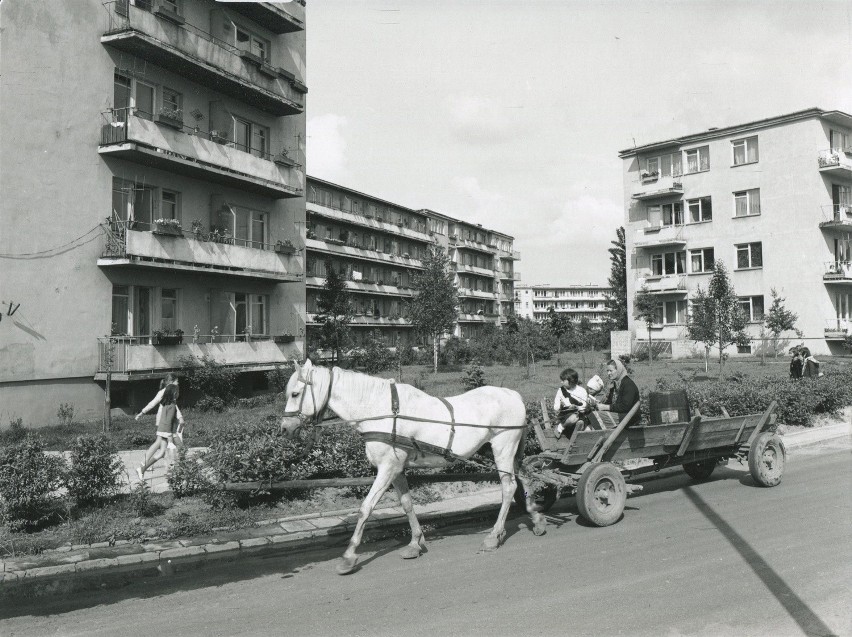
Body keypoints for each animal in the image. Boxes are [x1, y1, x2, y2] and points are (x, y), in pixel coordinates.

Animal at [280, 360, 544, 572]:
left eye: (295, 394)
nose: (284, 429)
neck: (381, 411)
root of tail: (514, 395)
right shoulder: (396, 469)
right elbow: (407, 503)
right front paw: (416, 543)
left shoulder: (387, 468)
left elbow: (366, 508)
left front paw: (349, 556)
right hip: (505, 453)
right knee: (524, 478)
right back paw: (536, 518)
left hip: (503, 448)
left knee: (508, 487)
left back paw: (494, 535)